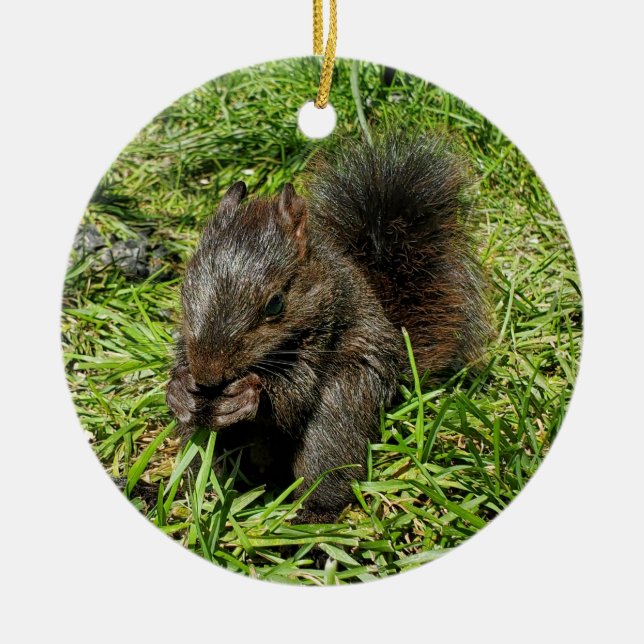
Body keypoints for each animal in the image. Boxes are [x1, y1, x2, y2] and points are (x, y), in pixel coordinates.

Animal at [166, 128, 491, 523]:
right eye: (186, 285)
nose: (208, 377)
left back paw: (311, 518)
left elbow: (296, 395)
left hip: (346, 399)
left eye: (276, 304)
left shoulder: (327, 329)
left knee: (327, 451)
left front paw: (250, 394)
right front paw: (179, 388)